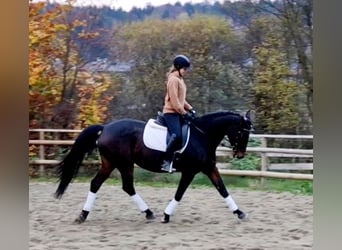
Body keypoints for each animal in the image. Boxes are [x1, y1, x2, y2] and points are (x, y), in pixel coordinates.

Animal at [54, 110, 254, 224]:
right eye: (242, 132)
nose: (240, 154)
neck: (202, 135)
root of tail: (105, 128)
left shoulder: (209, 167)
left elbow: (222, 189)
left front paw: (240, 213)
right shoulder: (190, 171)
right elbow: (180, 193)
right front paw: (166, 215)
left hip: (111, 163)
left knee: (98, 184)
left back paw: (84, 215)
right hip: (123, 163)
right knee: (126, 186)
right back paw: (148, 213)